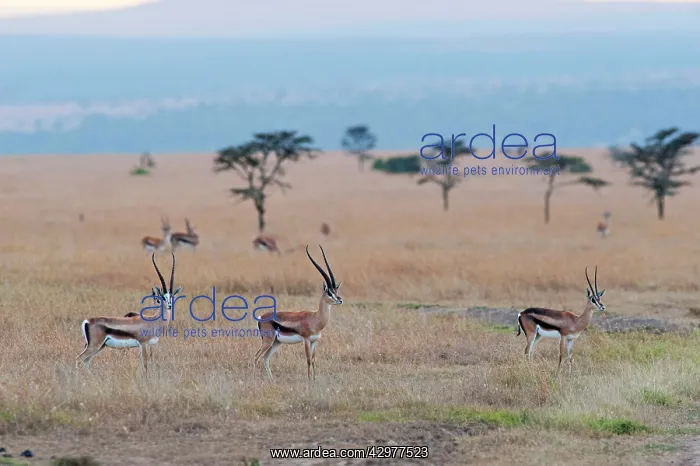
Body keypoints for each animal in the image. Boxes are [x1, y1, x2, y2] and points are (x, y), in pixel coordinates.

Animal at [254, 245, 343, 381]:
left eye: (336, 291)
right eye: (329, 292)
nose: (340, 300)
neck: (315, 318)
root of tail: (260, 317)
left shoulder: (314, 341)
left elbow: (314, 360)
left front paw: (314, 379)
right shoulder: (306, 340)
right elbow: (308, 360)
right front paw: (309, 380)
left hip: (276, 342)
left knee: (265, 358)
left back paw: (272, 380)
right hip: (268, 341)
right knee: (256, 356)